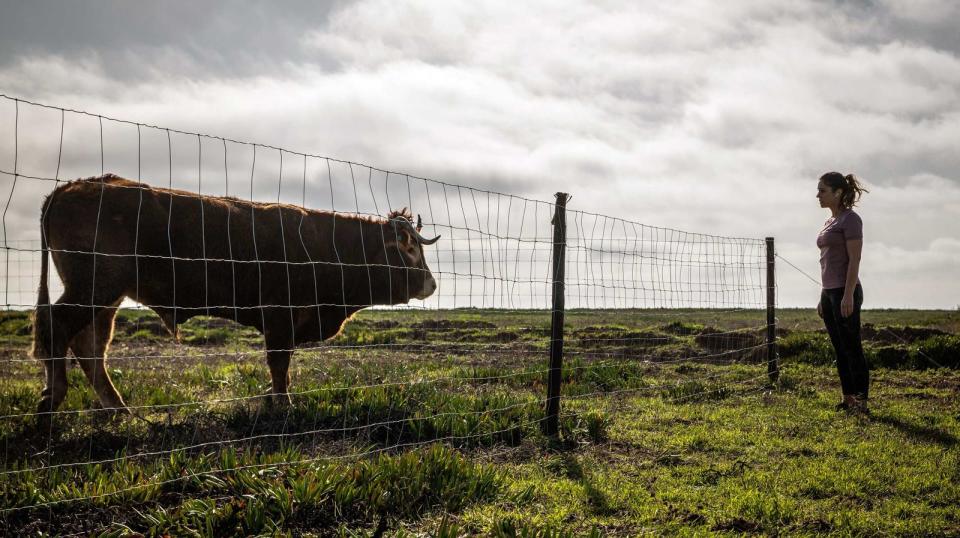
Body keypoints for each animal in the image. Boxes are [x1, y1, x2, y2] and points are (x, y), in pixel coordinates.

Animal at [31, 174, 440, 416]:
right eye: (409, 250)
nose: (432, 284)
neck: (326, 247)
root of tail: (74, 186)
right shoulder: (279, 317)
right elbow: (279, 364)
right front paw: (283, 404)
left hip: (106, 296)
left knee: (90, 346)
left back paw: (117, 408)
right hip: (93, 287)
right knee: (58, 327)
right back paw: (53, 398)